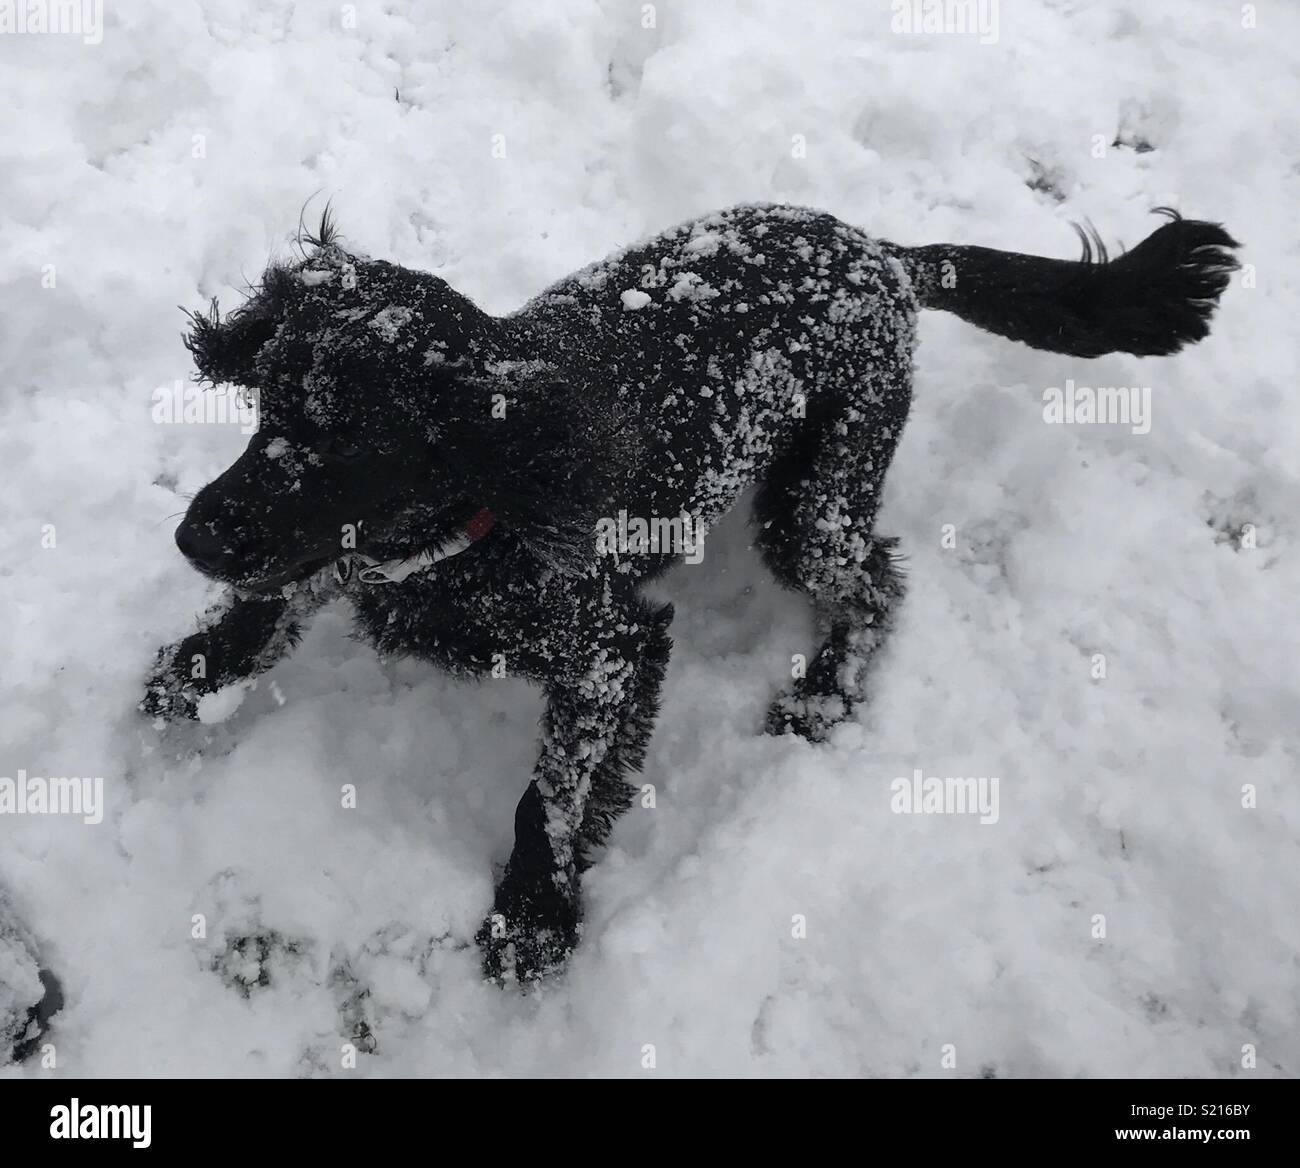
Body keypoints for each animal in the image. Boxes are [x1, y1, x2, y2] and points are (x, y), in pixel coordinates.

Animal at [144, 205, 1237, 978]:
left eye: (353, 443)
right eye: (269, 404)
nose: (195, 533)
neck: (490, 508)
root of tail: (884, 256)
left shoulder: (611, 646)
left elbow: (551, 794)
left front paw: (533, 918)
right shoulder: (335, 552)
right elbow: (277, 596)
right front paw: (194, 673)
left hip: (816, 498)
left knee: (876, 584)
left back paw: (822, 696)